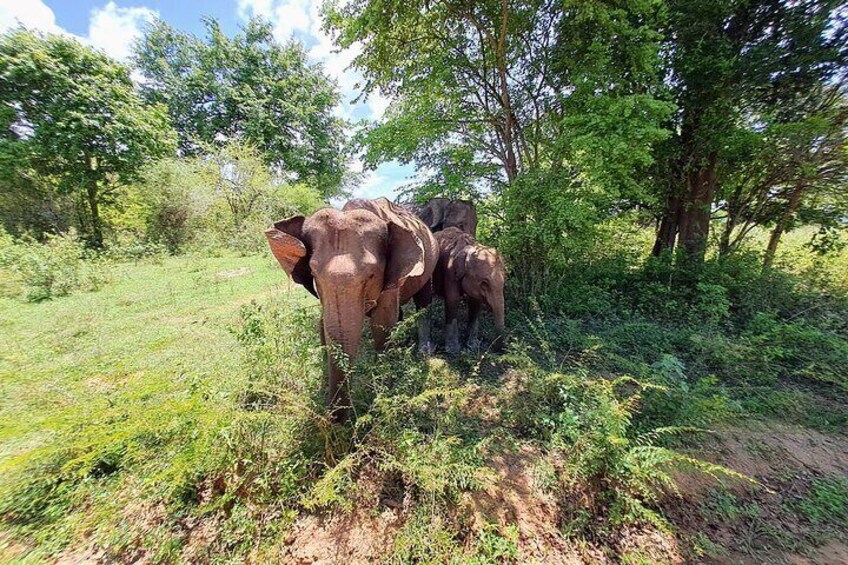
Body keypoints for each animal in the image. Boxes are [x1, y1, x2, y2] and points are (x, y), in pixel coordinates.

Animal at [264, 196, 438, 420]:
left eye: (371, 275)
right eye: (312, 272)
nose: (337, 420)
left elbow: (382, 324)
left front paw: (383, 389)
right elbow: (324, 324)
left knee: (423, 301)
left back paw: (423, 351)